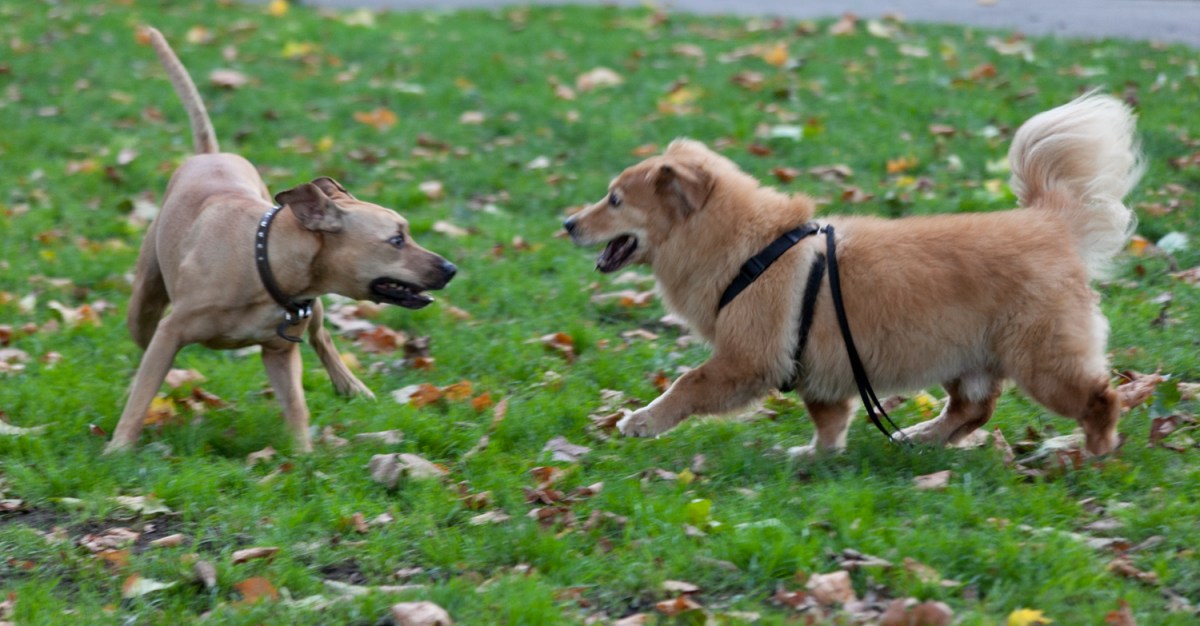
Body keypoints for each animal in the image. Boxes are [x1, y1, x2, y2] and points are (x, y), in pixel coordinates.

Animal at [105, 28, 456, 453]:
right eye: (396, 240)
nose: (451, 268)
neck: (263, 262)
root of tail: (210, 154)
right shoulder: (170, 331)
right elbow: (144, 393)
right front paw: (118, 448)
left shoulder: (281, 350)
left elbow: (297, 405)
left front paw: (304, 456)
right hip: (144, 305)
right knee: (143, 348)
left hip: (313, 313)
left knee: (323, 338)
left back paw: (351, 386)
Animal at [565, 92, 1142, 457]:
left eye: (614, 200)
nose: (567, 224)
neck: (748, 248)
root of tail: (1049, 222)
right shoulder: (814, 364)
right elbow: (829, 418)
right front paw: (815, 455)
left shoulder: (746, 359)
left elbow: (686, 386)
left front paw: (641, 421)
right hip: (968, 356)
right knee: (972, 411)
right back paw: (920, 439)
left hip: (1042, 360)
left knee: (1100, 398)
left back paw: (1091, 450)